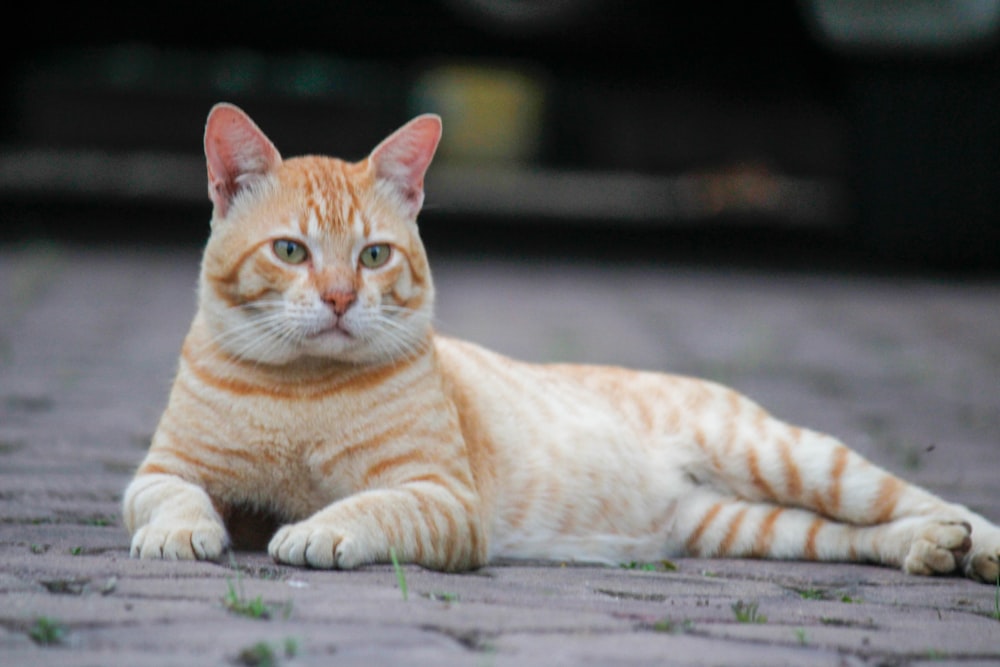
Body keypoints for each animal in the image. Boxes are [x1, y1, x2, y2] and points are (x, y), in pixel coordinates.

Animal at [125, 100, 1000, 584]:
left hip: (790, 456)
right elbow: (172, 496)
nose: (341, 298)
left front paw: (319, 526)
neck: (299, 389)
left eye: (373, 256)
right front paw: (179, 532)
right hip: (742, 525)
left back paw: (974, 546)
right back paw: (929, 550)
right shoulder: (159, 469)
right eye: (291, 251)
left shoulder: (444, 497)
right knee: (853, 533)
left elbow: (372, 504)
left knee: (922, 498)